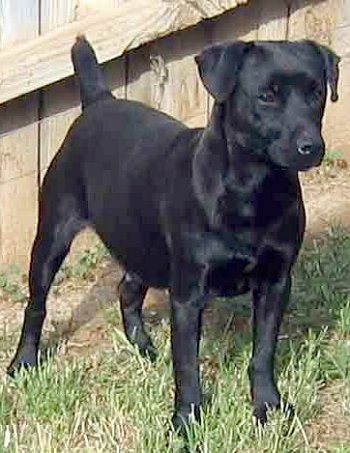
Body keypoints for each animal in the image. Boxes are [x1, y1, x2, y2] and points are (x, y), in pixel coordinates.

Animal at [8, 36, 340, 430]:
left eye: (317, 92)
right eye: (267, 96)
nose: (311, 147)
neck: (253, 191)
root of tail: (100, 101)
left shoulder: (275, 283)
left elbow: (263, 351)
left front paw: (268, 406)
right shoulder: (187, 294)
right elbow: (186, 365)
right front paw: (186, 421)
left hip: (140, 241)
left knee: (127, 289)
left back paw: (142, 347)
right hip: (53, 236)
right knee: (36, 305)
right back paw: (23, 362)